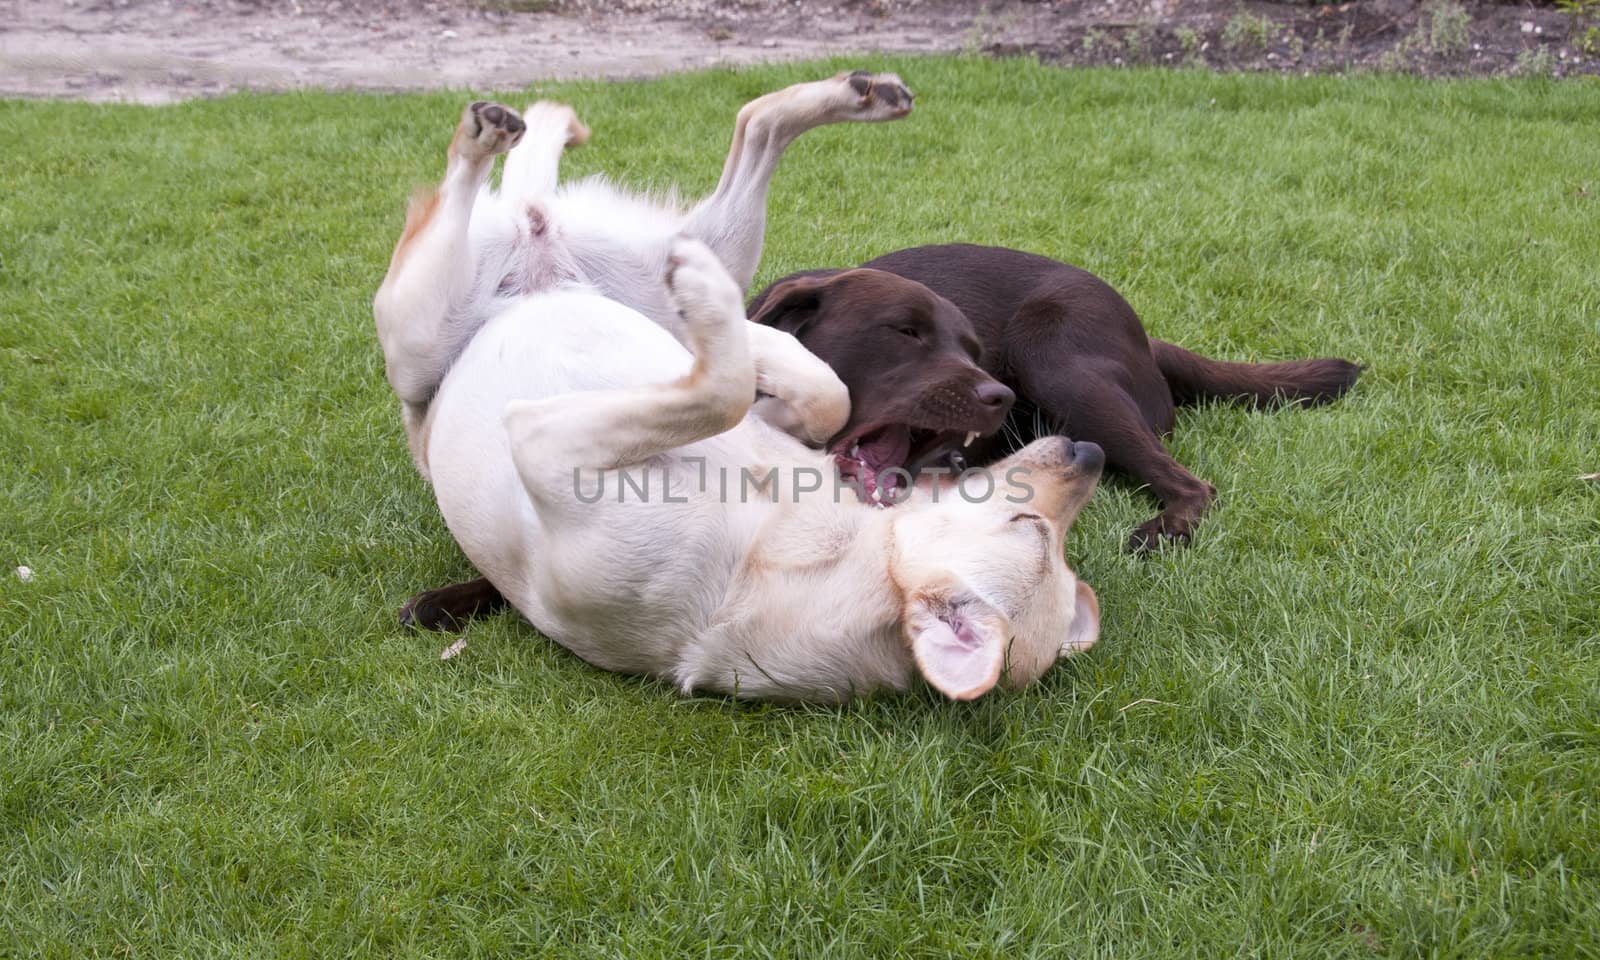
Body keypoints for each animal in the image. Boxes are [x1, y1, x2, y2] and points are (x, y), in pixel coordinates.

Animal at [372, 75, 1107, 700]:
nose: (1089, 453)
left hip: (418, 329)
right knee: (751, 124)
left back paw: (493, 135)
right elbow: (822, 393)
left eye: (1036, 528)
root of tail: (540, 245)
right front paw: (764, 345)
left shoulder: (545, 440)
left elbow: (722, 391)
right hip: (672, 251)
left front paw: (726, 325)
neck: (785, 546)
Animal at [748, 243, 1363, 550]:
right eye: (905, 331)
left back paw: (1163, 531)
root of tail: (1145, 340)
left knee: (1193, 484)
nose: (998, 394)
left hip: (1055, 359)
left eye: (972, 348)